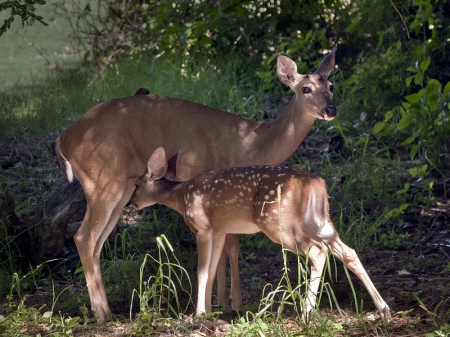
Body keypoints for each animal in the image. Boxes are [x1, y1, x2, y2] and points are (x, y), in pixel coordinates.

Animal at [54, 48, 338, 320]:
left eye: (331, 85)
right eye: (305, 88)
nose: (331, 110)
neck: (254, 144)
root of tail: (62, 140)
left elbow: (225, 248)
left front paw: (222, 302)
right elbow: (230, 247)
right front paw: (230, 302)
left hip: (120, 188)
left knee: (96, 243)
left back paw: (105, 311)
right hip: (103, 180)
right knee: (83, 237)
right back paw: (101, 314)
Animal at [129, 147, 390, 320]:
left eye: (136, 185)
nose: (132, 203)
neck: (181, 196)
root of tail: (318, 184)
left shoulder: (201, 227)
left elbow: (202, 272)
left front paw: (199, 314)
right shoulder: (219, 231)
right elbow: (211, 271)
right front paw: (210, 312)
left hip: (278, 223)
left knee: (317, 252)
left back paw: (306, 313)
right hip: (320, 221)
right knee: (348, 252)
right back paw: (384, 309)